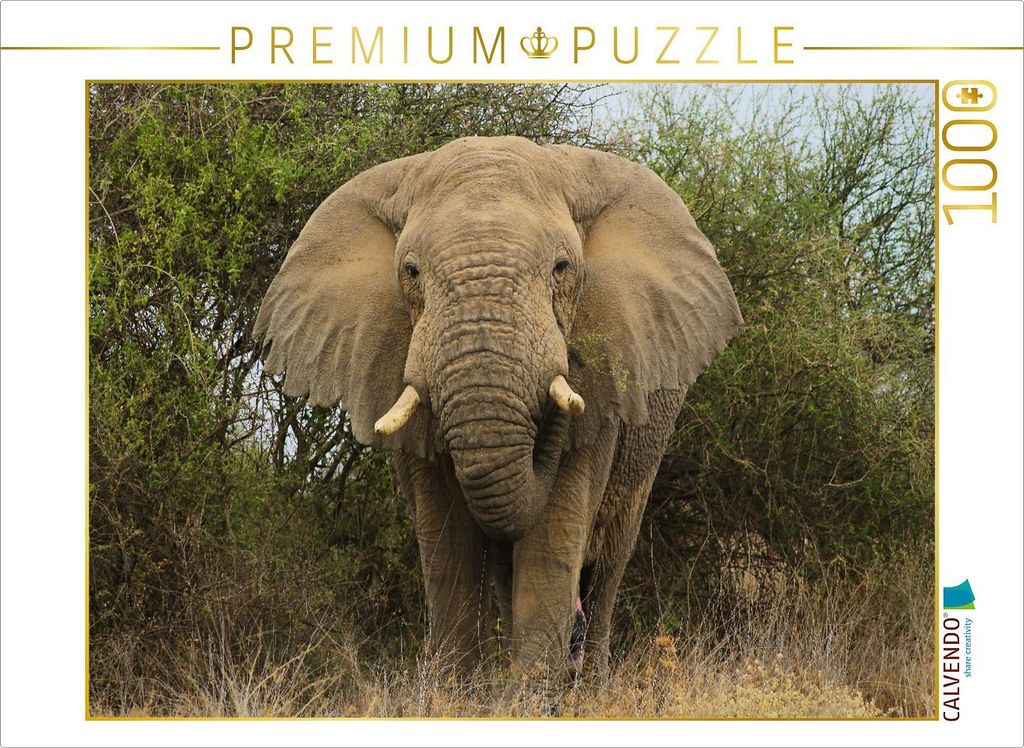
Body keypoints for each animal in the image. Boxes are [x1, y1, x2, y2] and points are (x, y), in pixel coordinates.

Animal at [253, 135, 741, 677]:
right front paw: (457, 690)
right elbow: (447, 545)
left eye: (561, 269)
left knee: (607, 565)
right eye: (411, 272)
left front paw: (529, 691)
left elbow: (552, 539)